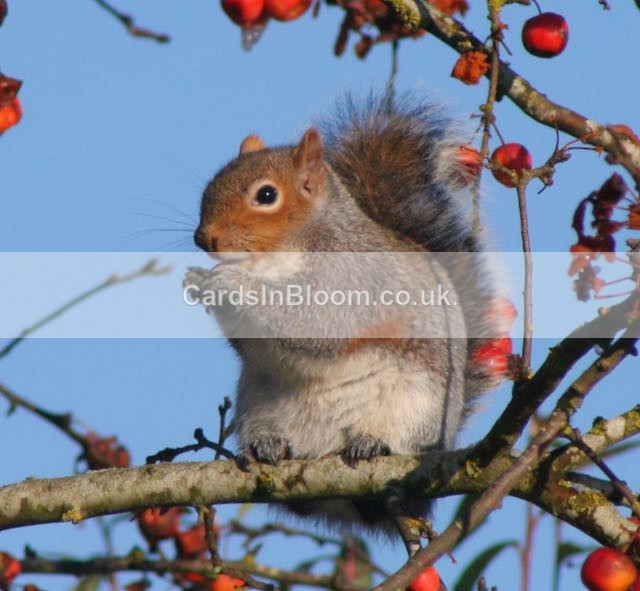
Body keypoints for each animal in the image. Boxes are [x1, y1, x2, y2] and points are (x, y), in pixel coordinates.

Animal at [184, 94, 511, 536]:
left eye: (266, 195)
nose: (205, 238)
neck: (275, 256)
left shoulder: (352, 278)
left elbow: (315, 321)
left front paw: (230, 282)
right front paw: (199, 281)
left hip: (419, 405)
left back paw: (373, 442)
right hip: (257, 402)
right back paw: (268, 443)